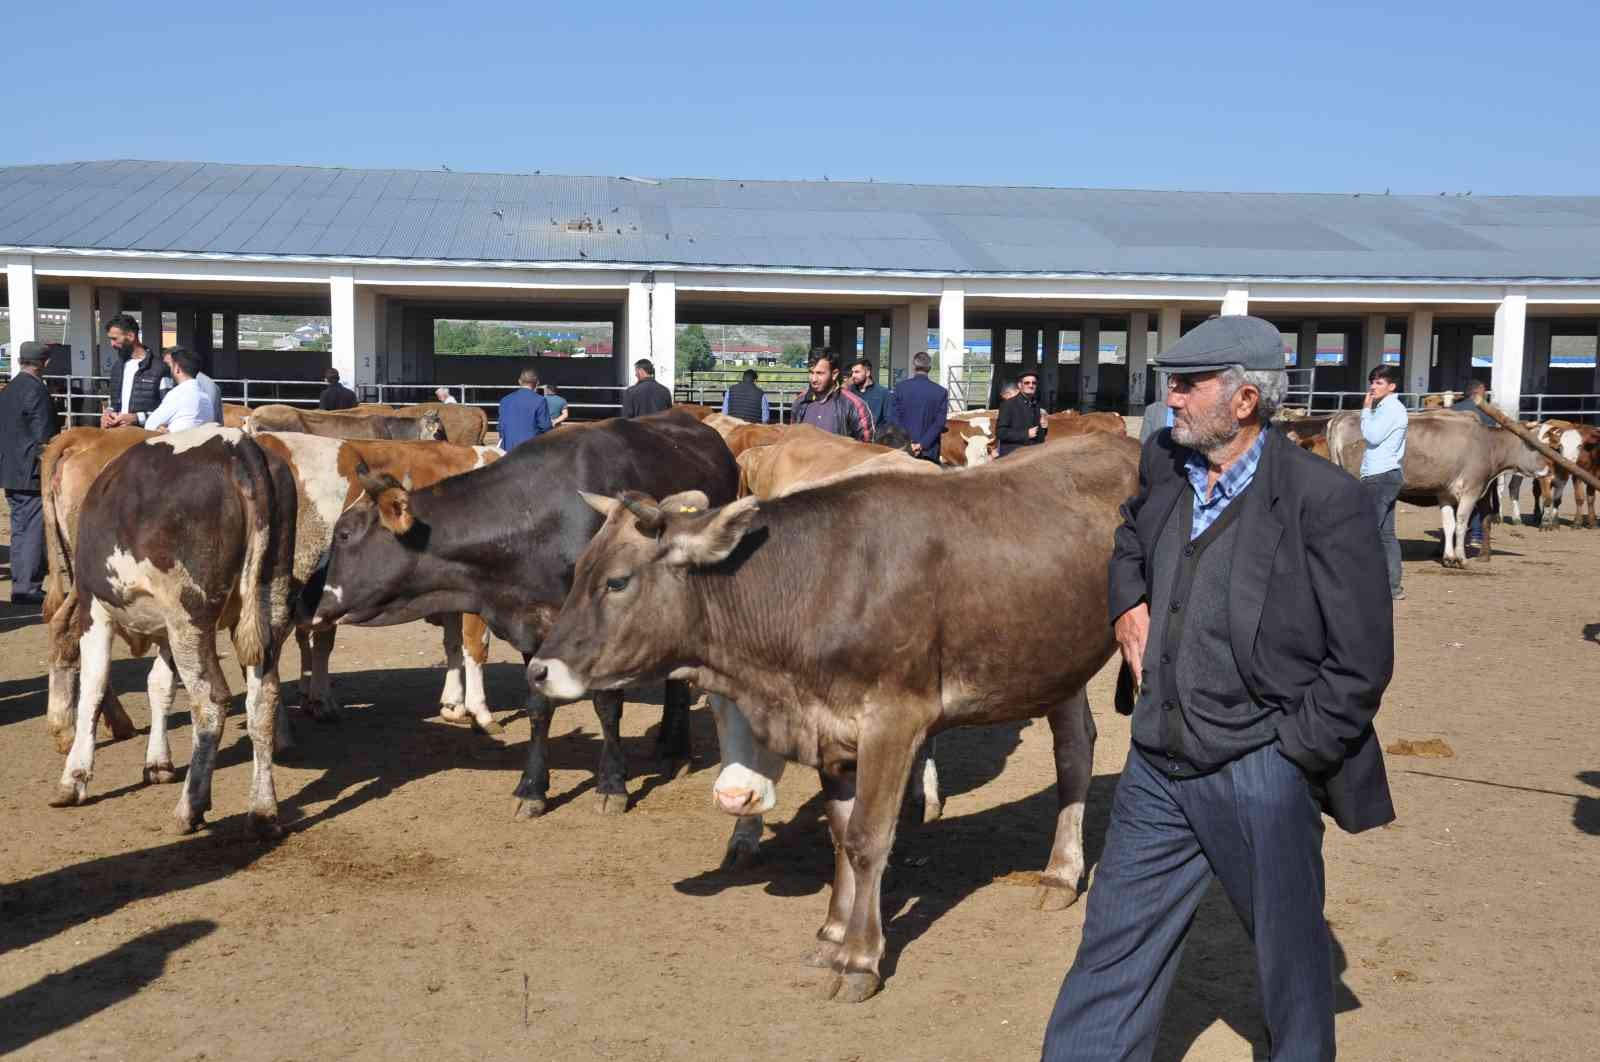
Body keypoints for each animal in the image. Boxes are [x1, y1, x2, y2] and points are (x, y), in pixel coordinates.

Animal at [531, 435, 1145, 1004]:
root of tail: (1120, 439)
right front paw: (832, 932)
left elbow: (869, 838)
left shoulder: (895, 719)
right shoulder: (831, 726)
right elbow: (840, 832)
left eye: (617, 581)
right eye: (579, 571)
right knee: (1074, 751)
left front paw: (859, 958)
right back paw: (1061, 872)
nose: (538, 670)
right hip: (1055, 660)